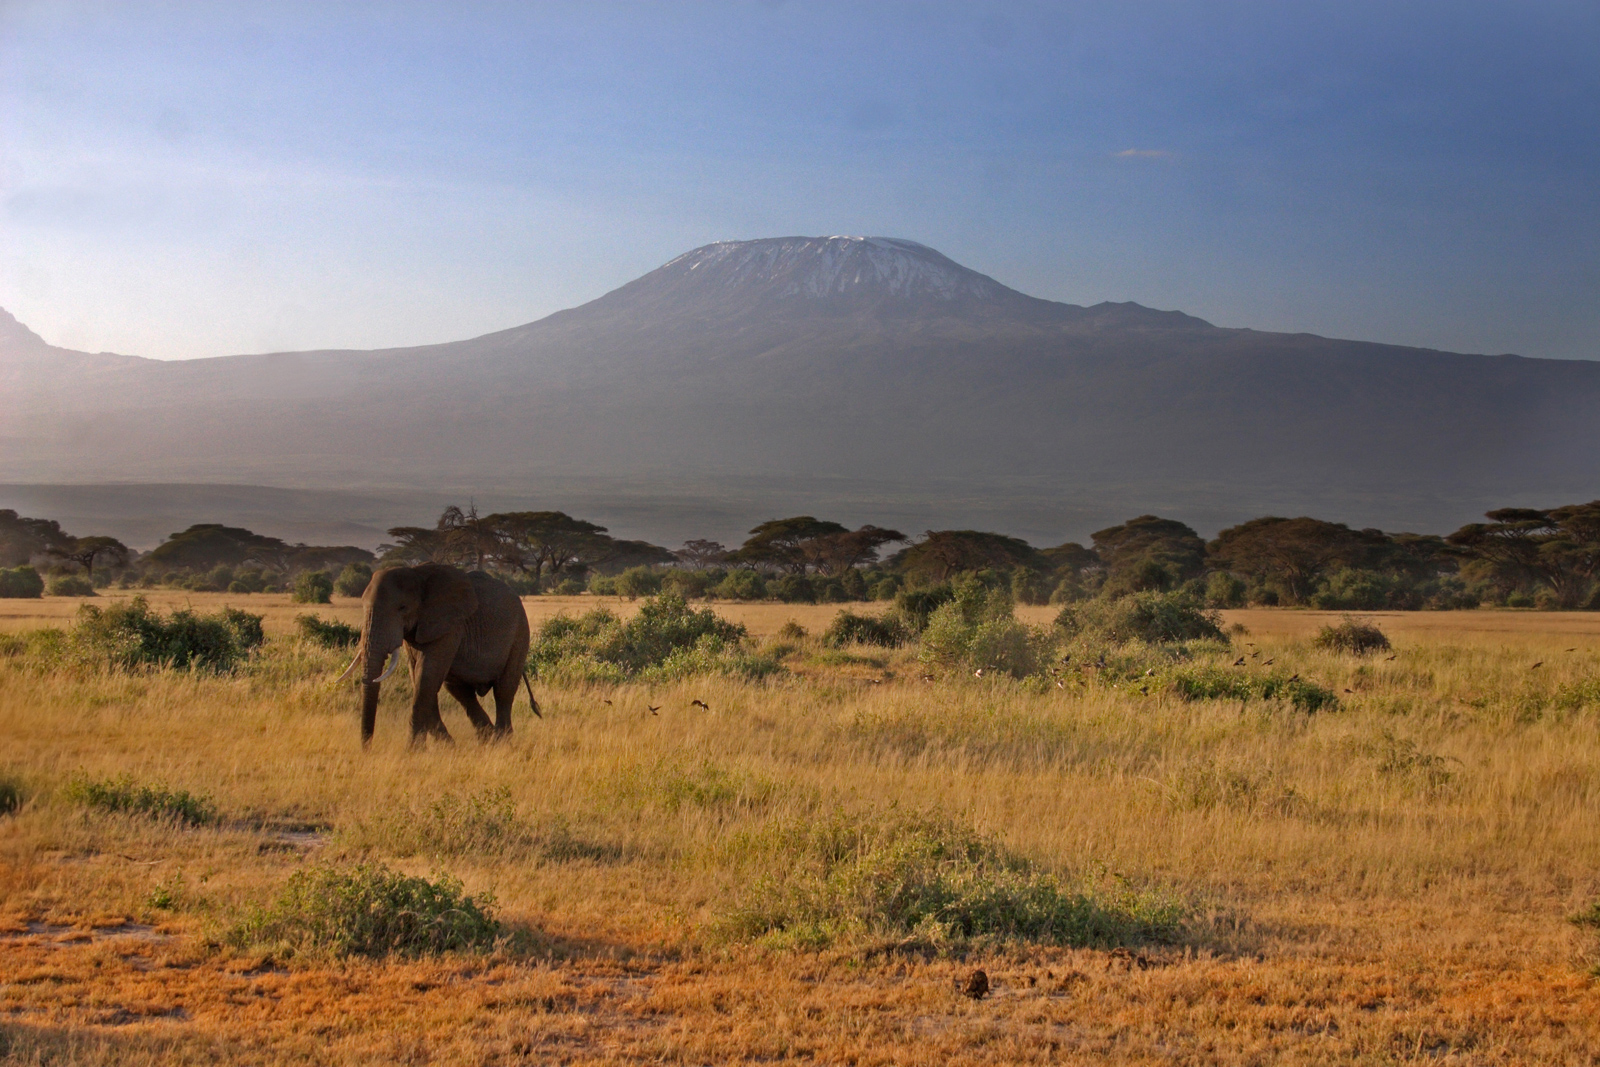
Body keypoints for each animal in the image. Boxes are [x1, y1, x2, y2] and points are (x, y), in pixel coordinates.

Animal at [336, 563, 537, 747]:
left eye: (402, 607)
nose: (367, 749)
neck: (417, 574)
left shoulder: (449, 625)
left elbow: (426, 677)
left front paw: (413, 751)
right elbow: (419, 678)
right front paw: (447, 747)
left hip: (519, 633)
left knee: (504, 690)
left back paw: (500, 741)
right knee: (461, 693)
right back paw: (486, 740)